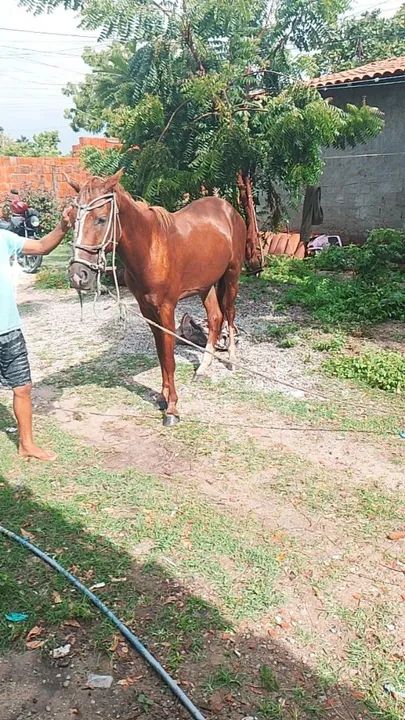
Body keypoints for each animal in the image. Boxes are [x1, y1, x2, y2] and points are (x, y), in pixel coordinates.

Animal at [67, 170, 261, 425]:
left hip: (231, 276)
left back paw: (231, 360)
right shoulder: (147, 310)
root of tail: (229, 210)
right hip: (206, 285)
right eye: (74, 219)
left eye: (101, 219)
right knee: (215, 317)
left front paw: (172, 409)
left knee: (229, 314)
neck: (150, 247)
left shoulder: (167, 309)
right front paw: (162, 396)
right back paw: (203, 368)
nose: (78, 276)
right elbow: (161, 354)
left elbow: (169, 358)